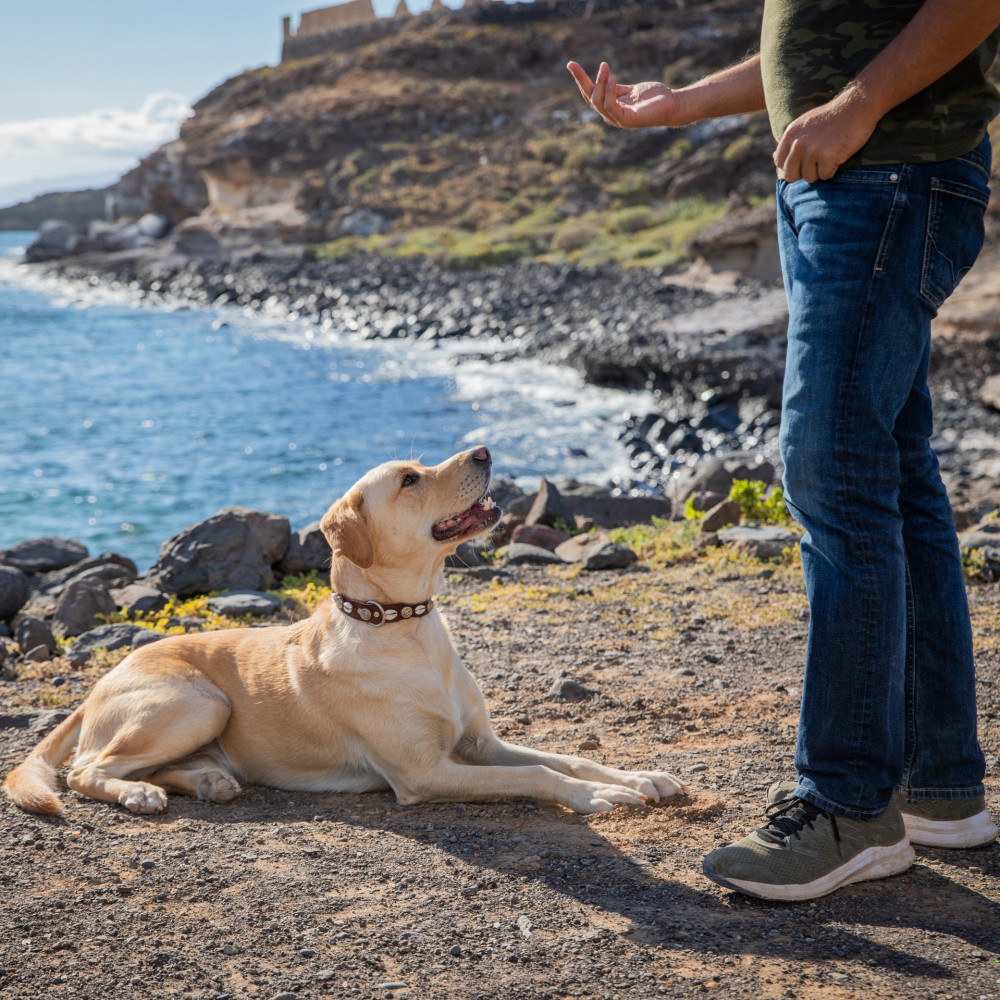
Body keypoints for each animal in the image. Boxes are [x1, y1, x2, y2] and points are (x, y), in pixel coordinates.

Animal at [1, 450, 688, 816]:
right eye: (409, 480)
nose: (484, 452)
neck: (406, 628)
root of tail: (99, 683)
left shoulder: (479, 745)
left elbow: (565, 756)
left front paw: (638, 778)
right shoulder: (425, 774)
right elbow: (540, 776)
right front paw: (594, 797)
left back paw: (206, 781)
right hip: (197, 702)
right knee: (84, 770)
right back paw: (136, 794)